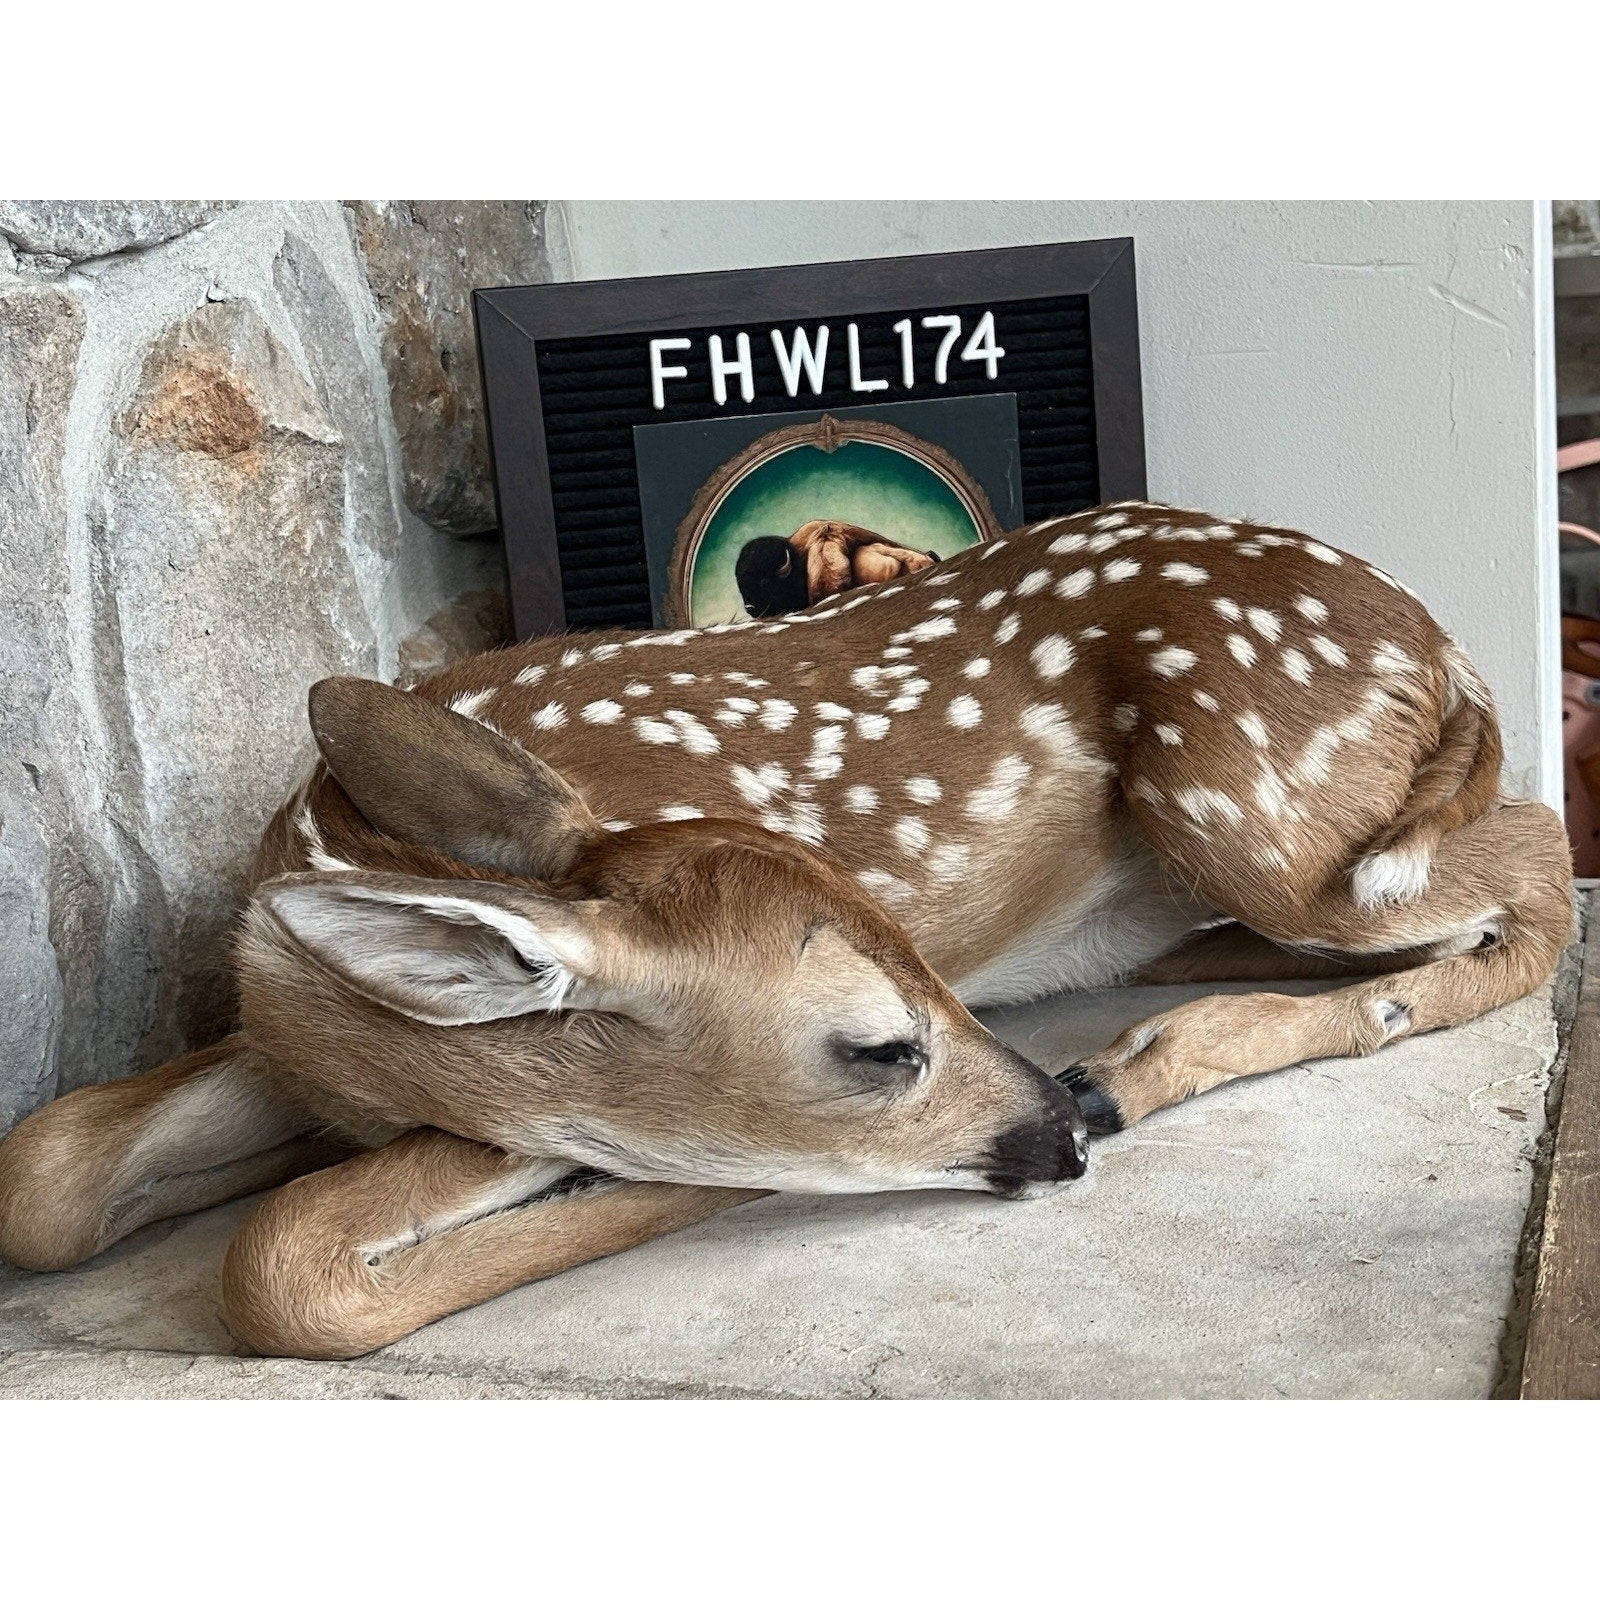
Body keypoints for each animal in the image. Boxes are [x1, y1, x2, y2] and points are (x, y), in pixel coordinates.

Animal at [0, 501, 1572, 1363]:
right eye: (874, 1044)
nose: (1057, 1130)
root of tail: (1441, 650)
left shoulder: (479, 1109)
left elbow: (285, 1263)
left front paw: (639, 1191)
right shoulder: (273, 1043)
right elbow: (48, 1170)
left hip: (1259, 812)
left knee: (1540, 862)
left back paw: (1165, 1055)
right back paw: (1151, 1023)